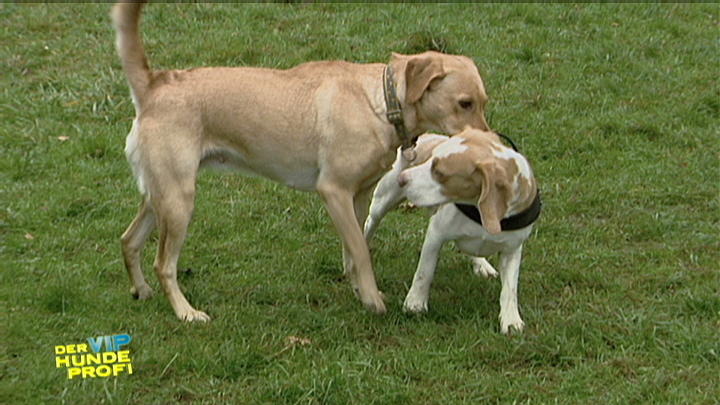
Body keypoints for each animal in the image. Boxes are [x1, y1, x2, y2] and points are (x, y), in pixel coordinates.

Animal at [112, 1, 492, 320]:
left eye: (483, 102)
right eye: (464, 103)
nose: (490, 140)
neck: (383, 102)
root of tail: (154, 86)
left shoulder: (358, 196)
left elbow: (354, 249)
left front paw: (359, 290)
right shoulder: (334, 191)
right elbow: (361, 250)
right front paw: (372, 300)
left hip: (161, 196)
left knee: (129, 240)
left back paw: (141, 290)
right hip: (179, 201)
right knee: (164, 264)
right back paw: (186, 313)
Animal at [366, 128, 540, 332]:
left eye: (439, 172)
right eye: (430, 160)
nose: (402, 178)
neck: (480, 211)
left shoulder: (512, 249)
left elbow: (510, 289)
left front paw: (511, 320)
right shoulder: (436, 234)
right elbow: (424, 272)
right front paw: (415, 303)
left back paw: (481, 265)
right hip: (381, 203)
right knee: (369, 224)